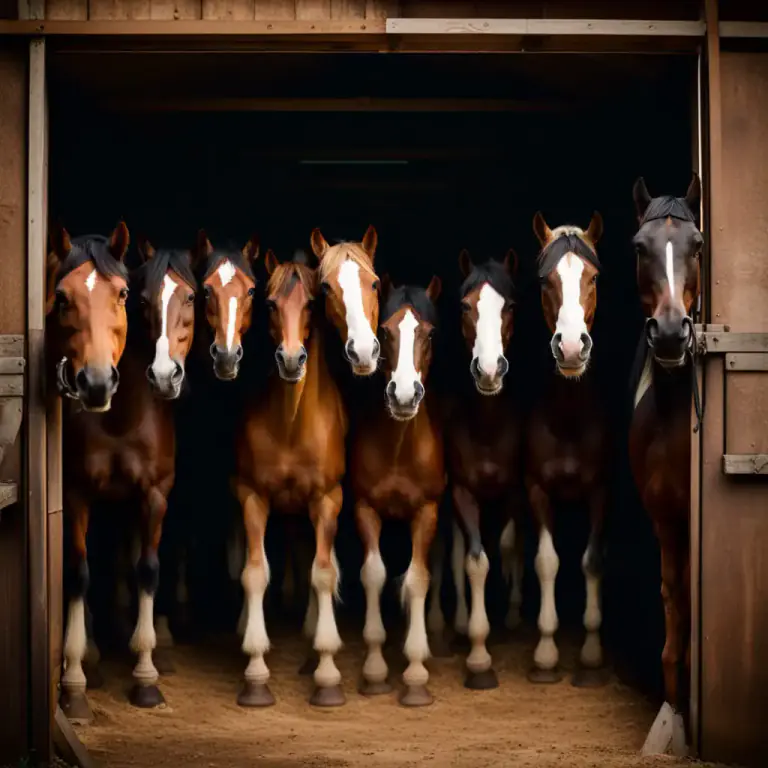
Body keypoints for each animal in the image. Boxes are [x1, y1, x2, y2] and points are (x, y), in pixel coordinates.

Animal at [49, 223, 197, 720]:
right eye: (61, 296)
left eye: (122, 293)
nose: (96, 383)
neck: (121, 419)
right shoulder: (76, 495)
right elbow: (78, 573)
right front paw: (74, 683)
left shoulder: (154, 494)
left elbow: (147, 568)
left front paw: (146, 675)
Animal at [232, 249, 349, 708]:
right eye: (270, 304)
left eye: (312, 304)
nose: (292, 359)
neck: (291, 426)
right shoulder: (251, 497)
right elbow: (253, 573)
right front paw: (255, 671)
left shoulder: (327, 500)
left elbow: (323, 573)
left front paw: (327, 671)